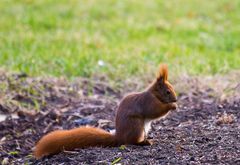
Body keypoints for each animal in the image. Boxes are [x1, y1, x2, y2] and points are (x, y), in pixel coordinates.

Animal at [33, 64, 176, 159]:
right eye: (168, 92)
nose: (175, 99)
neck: (154, 94)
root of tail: (119, 137)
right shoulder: (148, 102)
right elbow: (155, 111)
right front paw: (172, 106)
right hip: (136, 125)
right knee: (131, 142)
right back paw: (144, 142)